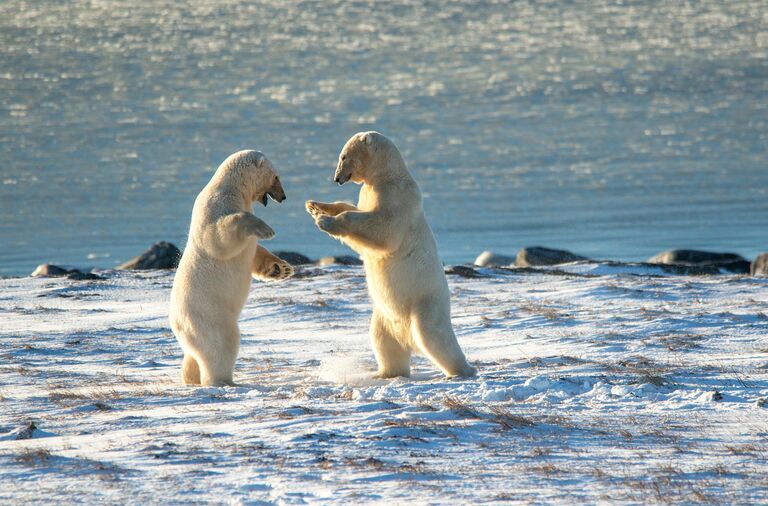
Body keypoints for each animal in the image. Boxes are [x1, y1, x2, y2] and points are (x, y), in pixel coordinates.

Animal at [171, 148, 294, 386]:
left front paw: (281, 269)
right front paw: (267, 229)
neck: (232, 188)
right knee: (221, 344)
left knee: (193, 356)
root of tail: (177, 324)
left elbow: (254, 253)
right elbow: (219, 237)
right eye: (276, 177)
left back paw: (191, 378)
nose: (283, 197)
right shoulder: (215, 206)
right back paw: (223, 381)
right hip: (209, 315)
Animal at [304, 132, 474, 378]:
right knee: (383, 340)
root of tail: (407, 335)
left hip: (425, 303)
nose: (336, 178)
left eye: (343, 156)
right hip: (384, 316)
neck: (387, 174)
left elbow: (383, 228)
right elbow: (357, 216)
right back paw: (385, 373)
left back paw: (462, 370)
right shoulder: (369, 192)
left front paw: (325, 221)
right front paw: (315, 206)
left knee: (434, 337)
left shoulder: (396, 196)